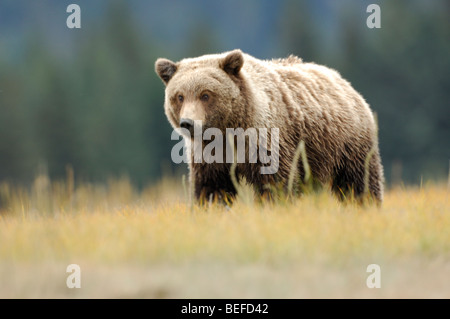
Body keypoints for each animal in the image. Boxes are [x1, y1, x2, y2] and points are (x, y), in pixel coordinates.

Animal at [154, 48, 384, 204]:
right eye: (179, 96)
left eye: (205, 95)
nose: (188, 123)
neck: (229, 132)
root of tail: (344, 81)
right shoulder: (209, 154)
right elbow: (212, 187)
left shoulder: (267, 140)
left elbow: (275, 182)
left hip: (347, 143)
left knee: (358, 181)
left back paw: (365, 204)